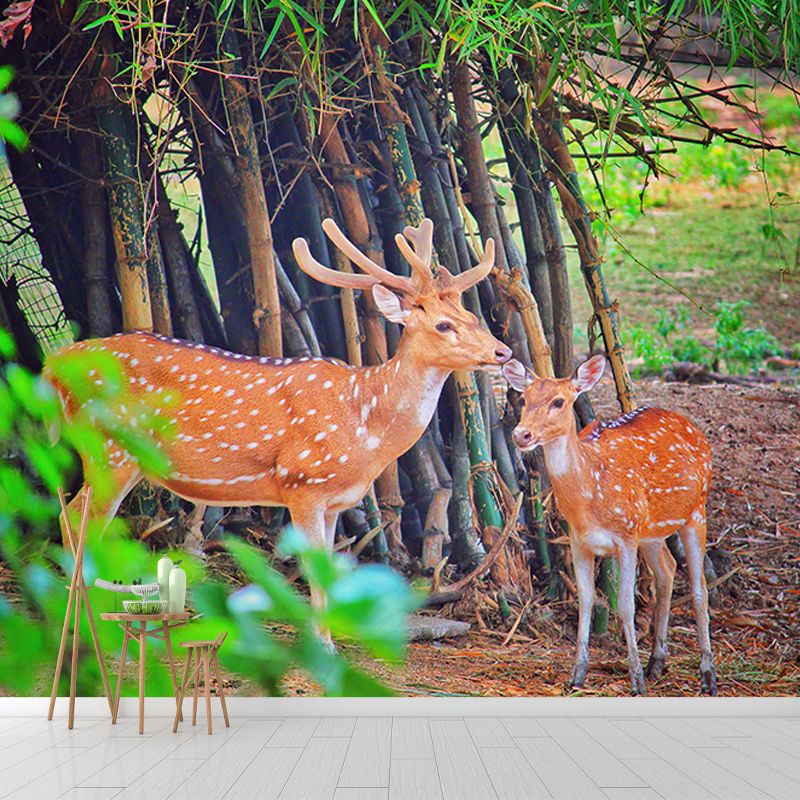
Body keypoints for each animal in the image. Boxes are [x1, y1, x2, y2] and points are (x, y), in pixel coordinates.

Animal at [47, 218, 512, 646]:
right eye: (443, 325)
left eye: (471, 315)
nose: (503, 351)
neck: (364, 425)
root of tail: (56, 364)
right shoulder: (302, 481)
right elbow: (313, 570)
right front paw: (322, 646)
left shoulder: (334, 501)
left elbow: (330, 571)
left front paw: (328, 642)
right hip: (107, 449)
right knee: (75, 519)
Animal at [502, 355, 717, 695]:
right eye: (523, 398)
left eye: (559, 401)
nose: (521, 435)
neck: (590, 498)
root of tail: (693, 427)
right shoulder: (578, 541)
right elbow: (586, 600)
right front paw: (576, 675)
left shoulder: (625, 536)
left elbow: (626, 605)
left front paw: (636, 681)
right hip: (650, 531)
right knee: (667, 570)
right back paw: (657, 662)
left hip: (696, 510)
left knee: (699, 588)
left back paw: (707, 674)